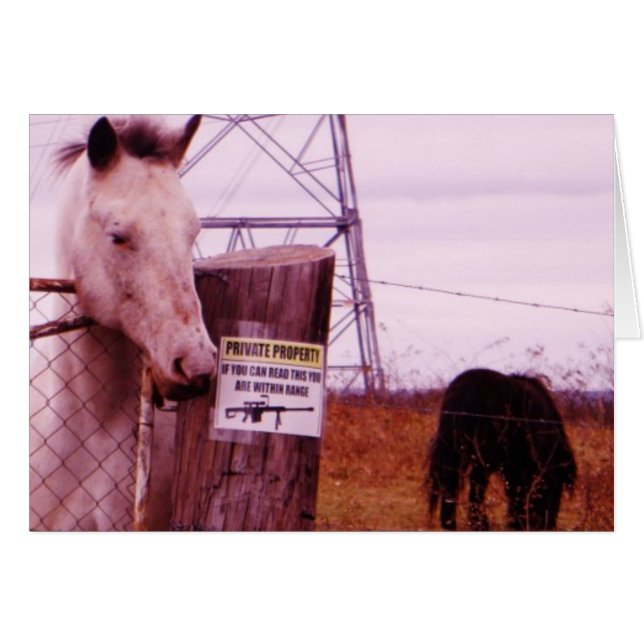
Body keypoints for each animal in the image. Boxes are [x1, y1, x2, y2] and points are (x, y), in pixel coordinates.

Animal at [426, 368, 576, 531]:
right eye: (554, 492)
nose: (548, 525)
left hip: (455, 451)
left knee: (449, 481)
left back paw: (449, 523)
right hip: (484, 455)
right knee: (475, 485)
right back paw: (480, 525)